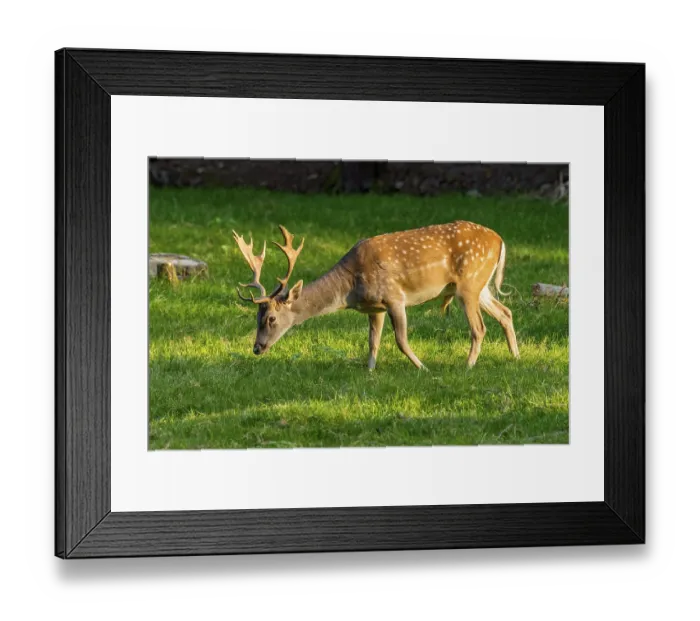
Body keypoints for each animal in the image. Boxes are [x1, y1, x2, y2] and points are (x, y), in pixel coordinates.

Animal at [232, 222, 519, 370]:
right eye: (256, 317)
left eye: (270, 318)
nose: (257, 348)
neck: (350, 288)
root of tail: (500, 240)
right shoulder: (375, 307)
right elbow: (373, 341)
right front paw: (369, 371)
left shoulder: (394, 297)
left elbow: (401, 340)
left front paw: (423, 367)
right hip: (480, 286)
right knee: (506, 312)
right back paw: (515, 356)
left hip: (469, 283)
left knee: (479, 327)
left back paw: (467, 366)